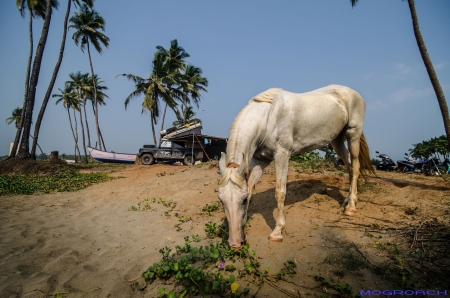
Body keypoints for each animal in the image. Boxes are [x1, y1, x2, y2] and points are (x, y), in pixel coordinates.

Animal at [220, 84, 374, 249]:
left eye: (242, 200)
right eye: (221, 201)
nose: (235, 242)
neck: (267, 118)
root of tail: (352, 92)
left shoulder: (282, 154)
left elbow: (280, 192)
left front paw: (277, 232)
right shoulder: (260, 161)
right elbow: (250, 188)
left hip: (353, 135)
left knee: (356, 167)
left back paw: (351, 207)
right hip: (337, 141)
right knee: (350, 167)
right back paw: (348, 200)